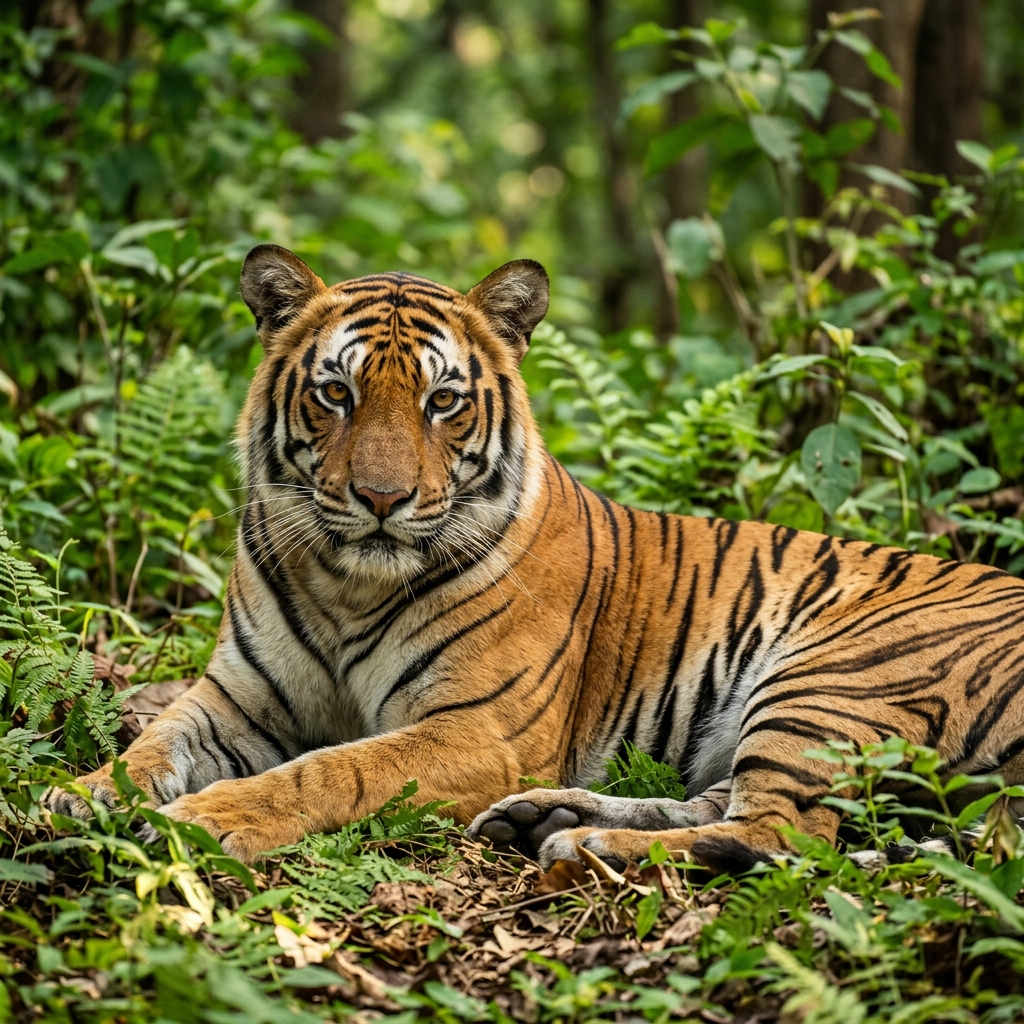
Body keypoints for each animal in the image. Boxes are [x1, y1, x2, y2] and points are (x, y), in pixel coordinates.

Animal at [46, 244, 1024, 875]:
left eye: (443, 401)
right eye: (337, 393)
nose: (380, 499)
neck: (347, 584)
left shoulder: (478, 729)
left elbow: (333, 769)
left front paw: (206, 820)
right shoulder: (238, 698)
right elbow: (155, 740)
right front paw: (81, 793)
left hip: (836, 675)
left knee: (784, 836)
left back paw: (586, 845)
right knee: (734, 807)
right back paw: (543, 819)